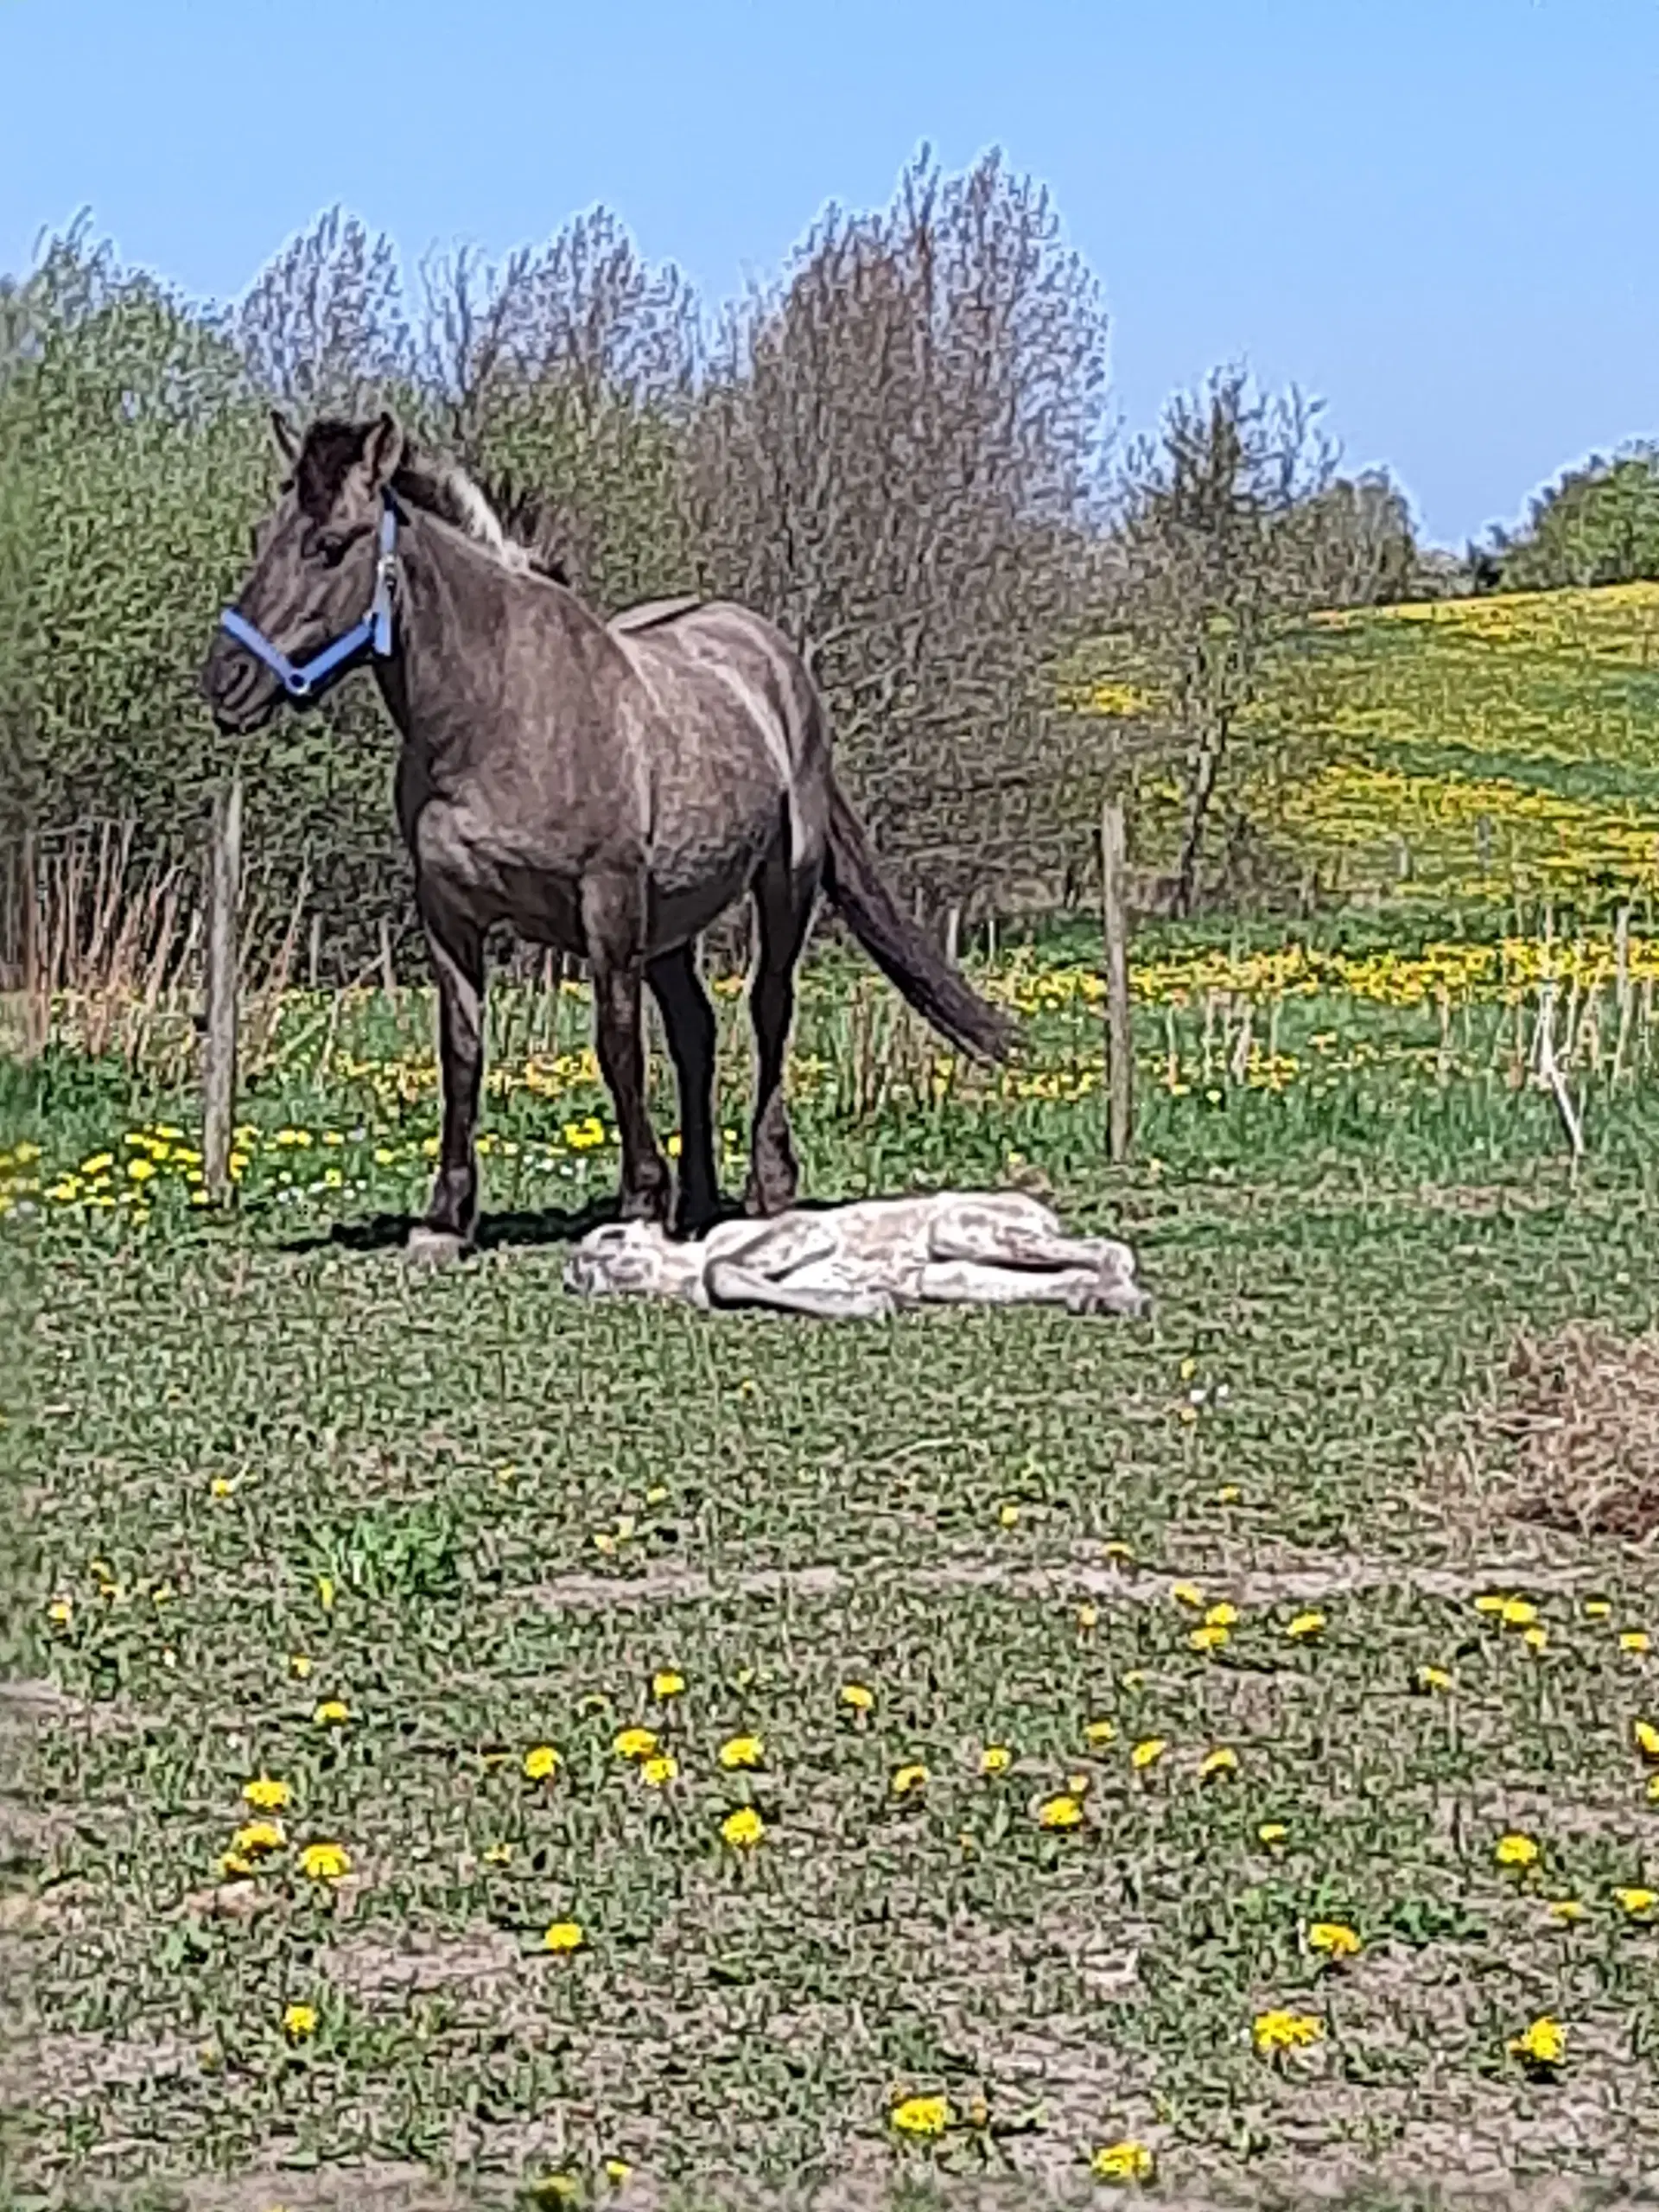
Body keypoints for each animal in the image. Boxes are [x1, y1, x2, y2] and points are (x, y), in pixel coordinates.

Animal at [203, 407, 1021, 1256]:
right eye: (265, 534)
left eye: (330, 544)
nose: (224, 682)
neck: (500, 712)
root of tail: (770, 655)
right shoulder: (449, 915)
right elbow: (462, 1049)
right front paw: (446, 1217)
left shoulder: (610, 904)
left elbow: (617, 1042)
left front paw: (638, 1197)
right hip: (673, 923)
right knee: (696, 1031)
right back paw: (698, 1201)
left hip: (781, 886)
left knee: (767, 1010)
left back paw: (765, 1186)